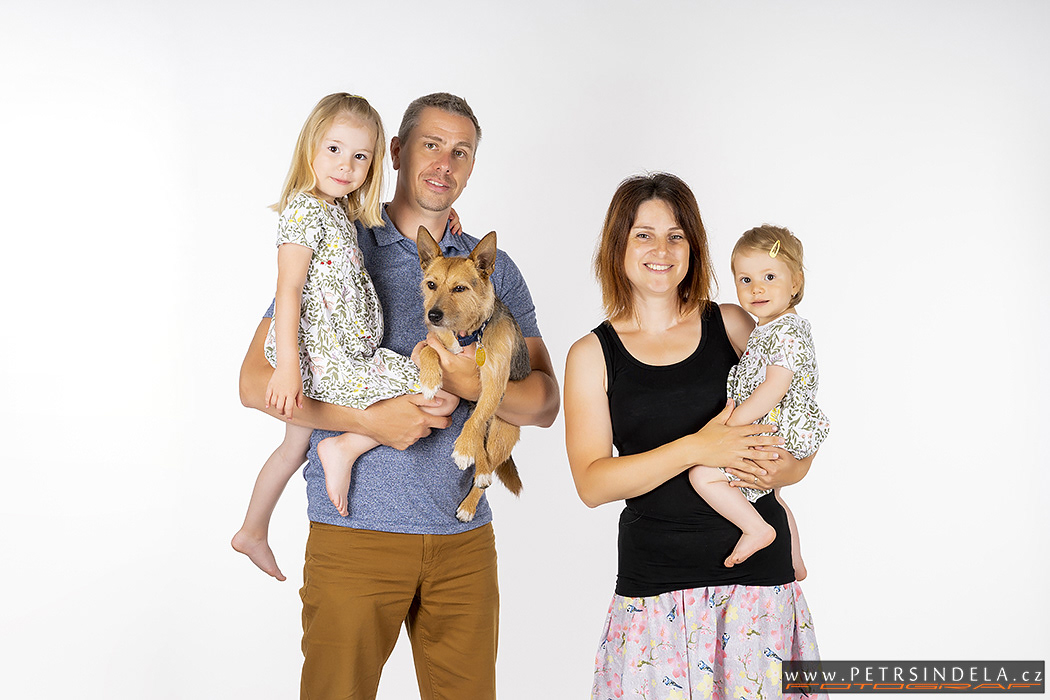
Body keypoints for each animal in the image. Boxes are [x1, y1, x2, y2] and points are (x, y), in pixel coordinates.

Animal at [416, 227, 530, 522]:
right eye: (431, 285)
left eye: (459, 288)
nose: (433, 315)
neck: (466, 334)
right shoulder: (430, 345)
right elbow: (428, 351)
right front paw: (430, 381)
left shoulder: (494, 383)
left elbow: (476, 420)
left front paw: (464, 449)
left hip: (502, 432)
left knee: (485, 455)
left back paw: (473, 496)